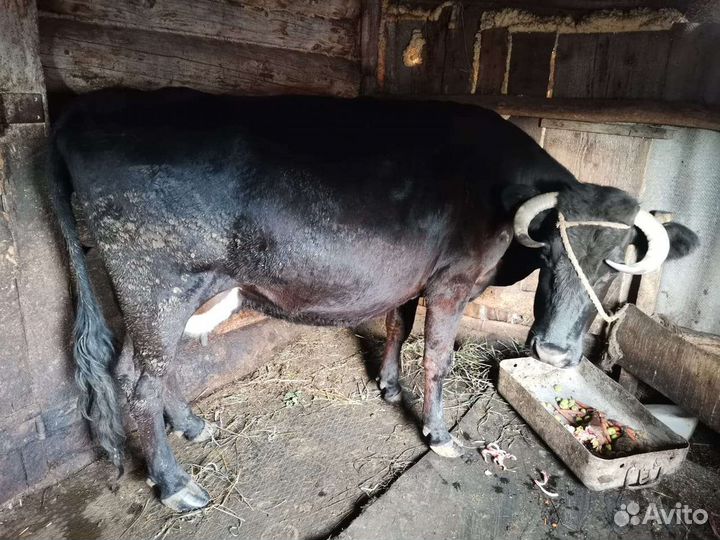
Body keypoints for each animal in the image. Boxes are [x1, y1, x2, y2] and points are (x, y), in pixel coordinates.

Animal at [47, 88, 698, 511]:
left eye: (614, 265)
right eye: (552, 253)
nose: (557, 354)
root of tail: (84, 108)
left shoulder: (408, 279)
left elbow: (397, 328)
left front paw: (388, 386)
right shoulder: (451, 283)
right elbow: (436, 357)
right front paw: (438, 434)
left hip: (168, 296)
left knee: (137, 369)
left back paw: (191, 425)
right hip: (157, 283)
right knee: (139, 385)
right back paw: (175, 483)